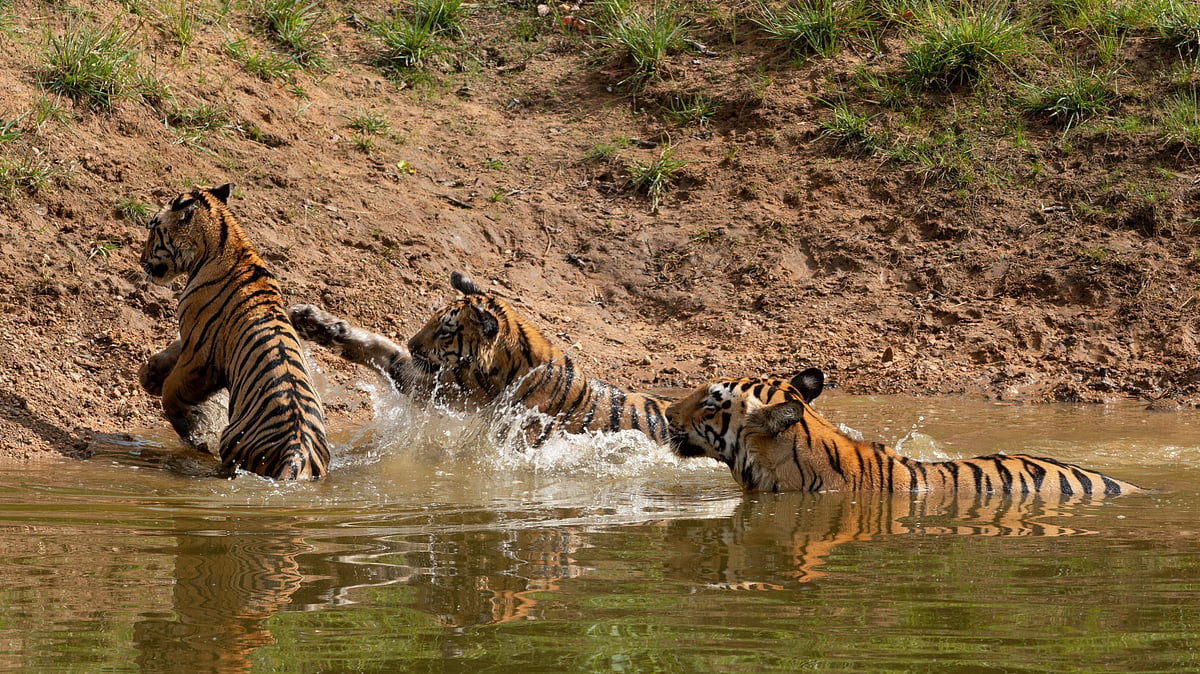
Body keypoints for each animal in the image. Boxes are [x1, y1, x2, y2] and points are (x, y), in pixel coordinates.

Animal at [138, 183, 330, 480]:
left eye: (152, 227)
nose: (141, 260)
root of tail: (297, 454)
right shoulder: (192, 335)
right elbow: (169, 353)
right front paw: (148, 375)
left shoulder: (201, 356)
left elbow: (172, 390)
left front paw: (192, 431)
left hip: (233, 439)